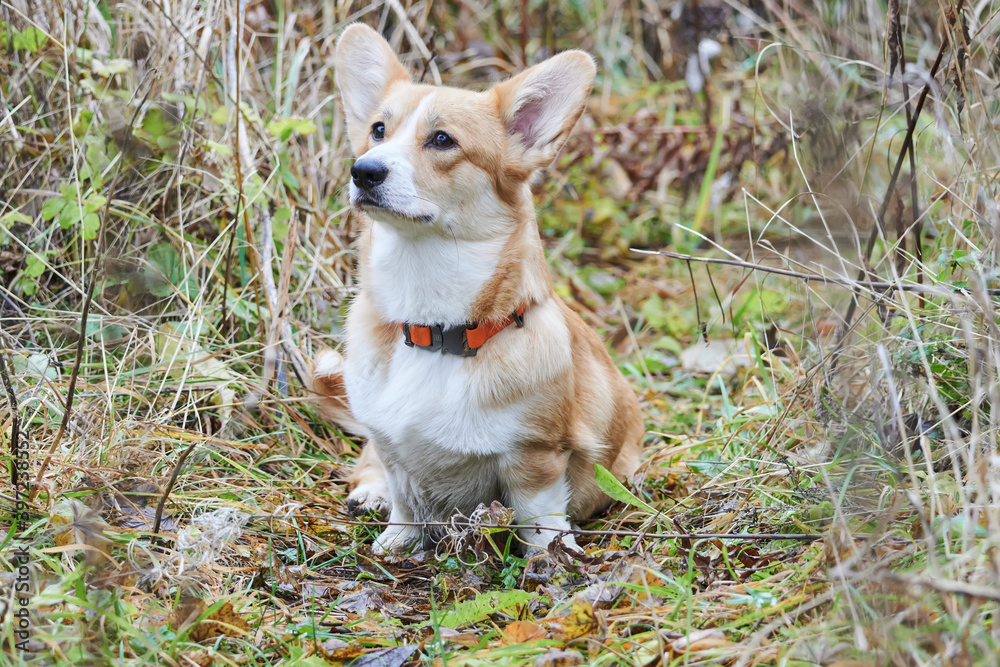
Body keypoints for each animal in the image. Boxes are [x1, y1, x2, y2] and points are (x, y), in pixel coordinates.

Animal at [308, 23, 644, 556]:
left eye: (442, 140)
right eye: (379, 130)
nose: (364, 170)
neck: (434, 326)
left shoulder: (535, 457)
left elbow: (539, 520)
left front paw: (552, 561)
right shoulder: (392, 447)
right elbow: (405, 499)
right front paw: (395, 541)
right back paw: (371, 494)